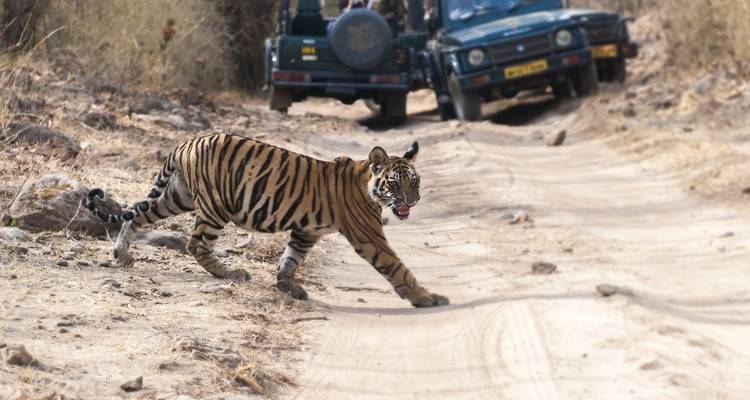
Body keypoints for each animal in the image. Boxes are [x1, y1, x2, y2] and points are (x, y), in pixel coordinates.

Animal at [86, 133, 449, 308]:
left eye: (415, 182)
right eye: (395, 184)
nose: (412, 202)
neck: (367, 184)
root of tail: (186, 142)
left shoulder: (306, 230)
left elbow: (292, 258)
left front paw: (287, 286)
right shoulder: (368, 235)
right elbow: (398, 267)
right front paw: (427, 298)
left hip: (177, 196)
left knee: (136, 213)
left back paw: (122, 255)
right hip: (215, 206)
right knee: (196, 243)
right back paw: (230, 273)